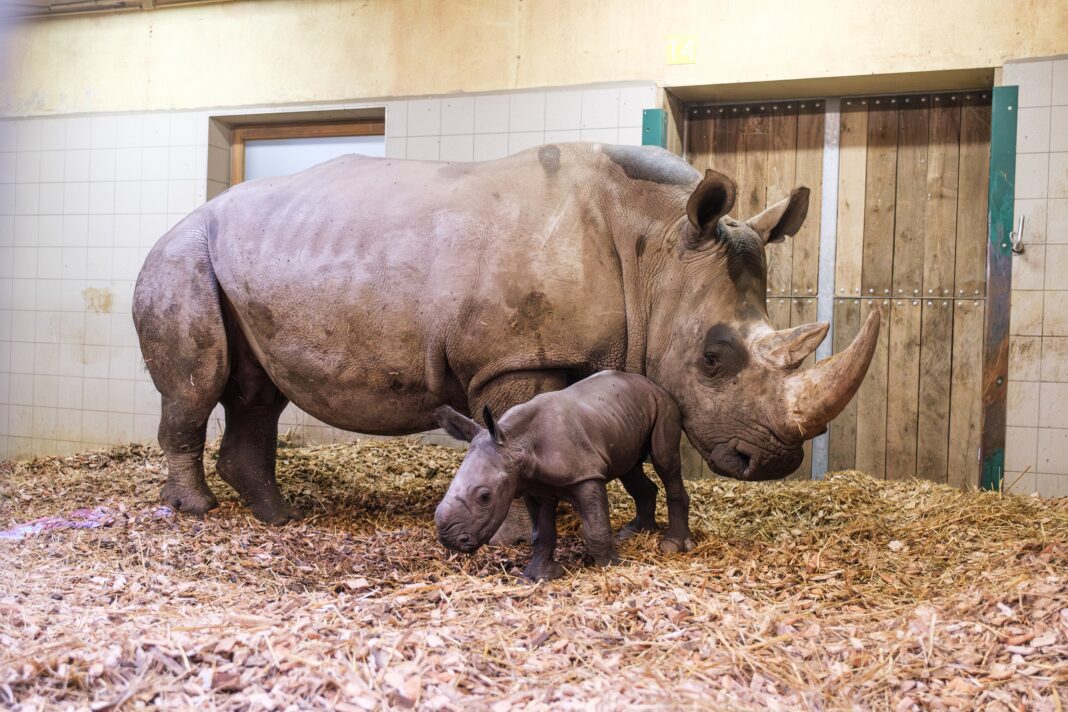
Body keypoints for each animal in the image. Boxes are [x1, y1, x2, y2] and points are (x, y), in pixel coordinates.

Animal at [431, 371, 692, 580]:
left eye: (484, 496)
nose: (448, 539)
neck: (516, 440)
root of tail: (650, 383)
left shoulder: (586, 475)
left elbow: (596, 528)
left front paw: (613, 567)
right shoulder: (534, 487)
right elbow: (541, 534)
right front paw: (538, 576)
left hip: (664, 404)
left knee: (665, 463)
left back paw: (672, 545)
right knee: (630, 470)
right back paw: (636, 532)